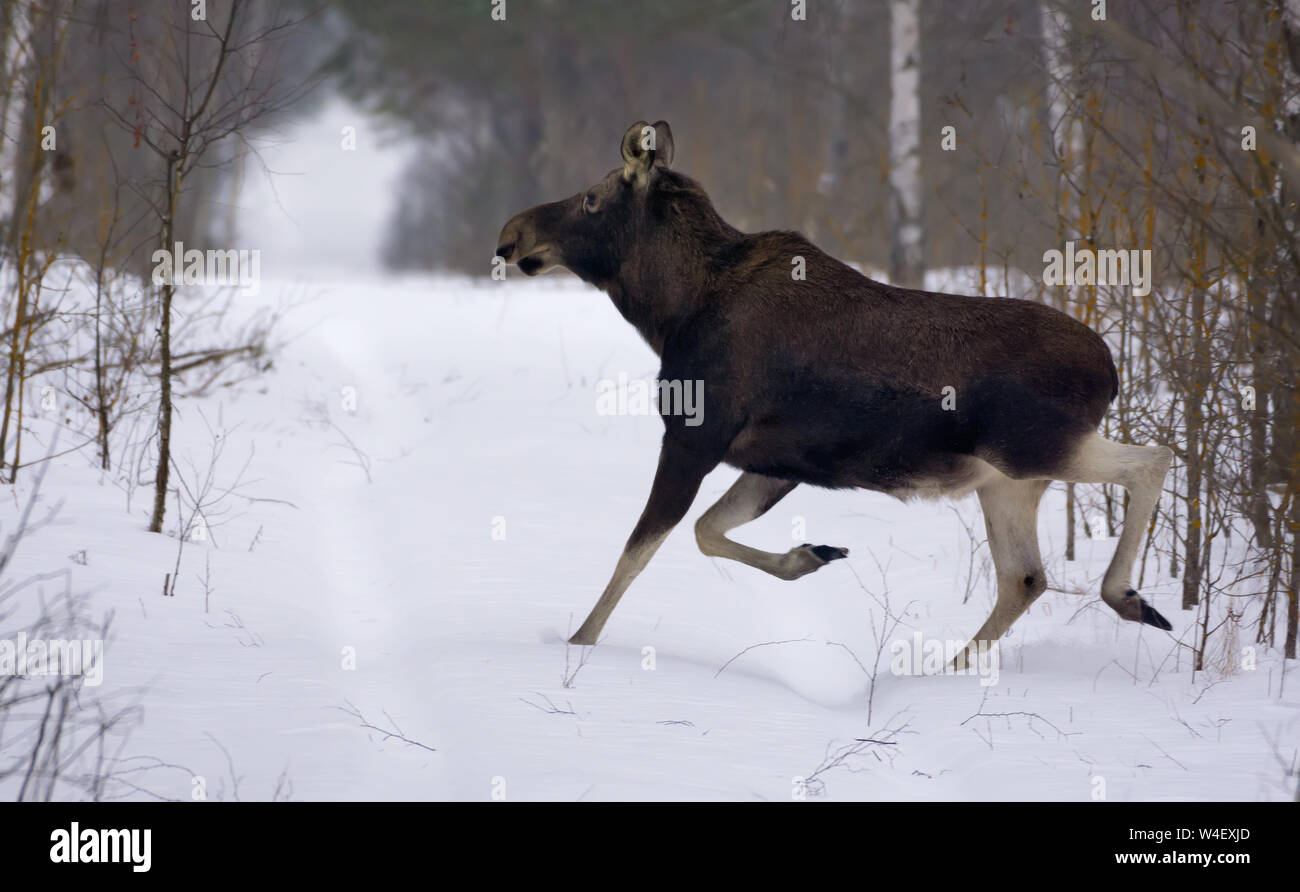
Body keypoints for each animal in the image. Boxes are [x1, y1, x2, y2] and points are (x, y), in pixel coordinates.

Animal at [491, 120, 1175, 663]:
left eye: (591, 197)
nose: (511, 234)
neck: (669, 312)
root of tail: (1110, 369)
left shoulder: (692, 436)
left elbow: (638, 550)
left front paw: (578, 642)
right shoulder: (776, 463)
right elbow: (707, 531)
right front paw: (811, 554)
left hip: (1034, 447)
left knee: (1152, 460)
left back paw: (1126, 596)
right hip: (1007, 480)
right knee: (1024, 578)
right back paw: (948, 672)